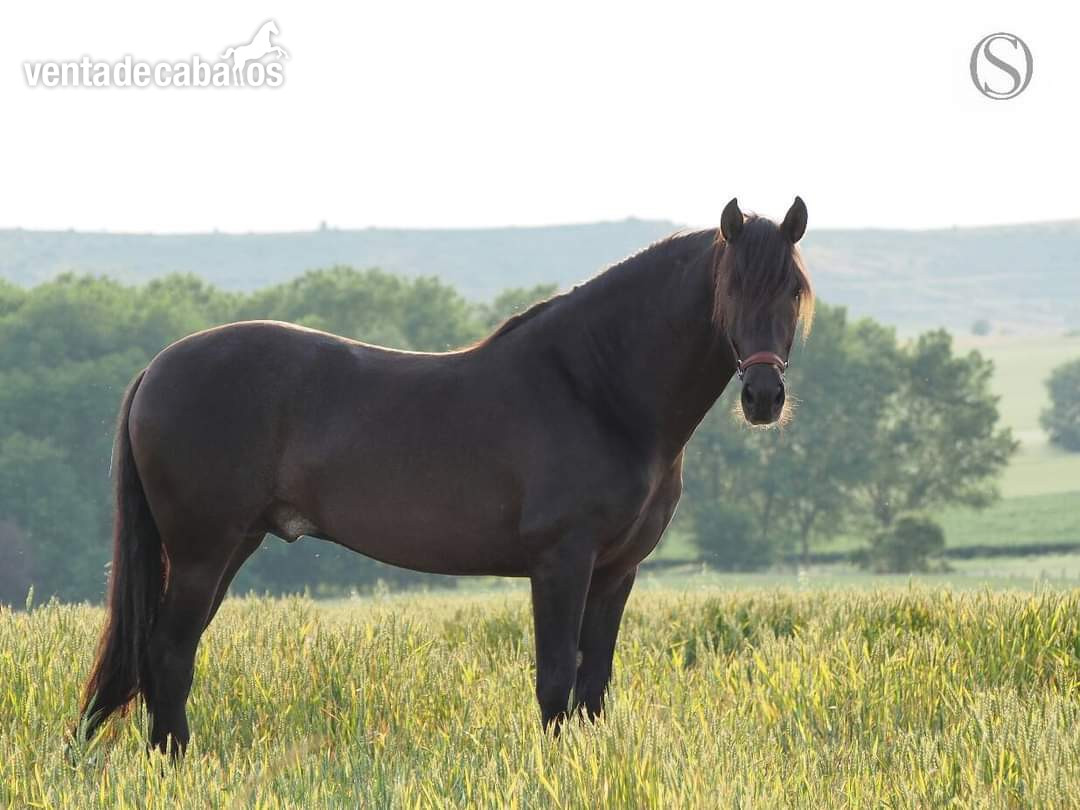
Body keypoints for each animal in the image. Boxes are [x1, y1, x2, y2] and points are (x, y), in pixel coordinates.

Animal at [78, 197, 813, 754]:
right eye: (731, 287)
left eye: (794, 291)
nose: (764, 397)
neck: (594, 388)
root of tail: (157, 368)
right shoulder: (561, 563)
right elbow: (554, 680)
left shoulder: (616, 572)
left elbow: (592, 688)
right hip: (203, 552)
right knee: (168, 655)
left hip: (230, 547)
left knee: (165, 657)